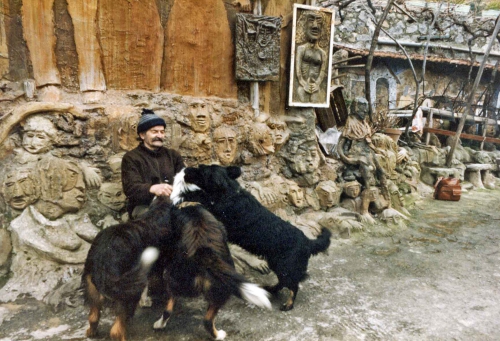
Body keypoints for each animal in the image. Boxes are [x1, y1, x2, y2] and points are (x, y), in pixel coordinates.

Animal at [172, 165, 332, 310]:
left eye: (202, 171)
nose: (186, 170)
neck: (229, 192)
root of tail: (308, 242)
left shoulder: (216, 209)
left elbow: (202, 197)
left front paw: (184, 196)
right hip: (276, 263)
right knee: (283, 282)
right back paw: (272, 289)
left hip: (285, 265)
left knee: (293, 285)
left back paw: (288, 304)